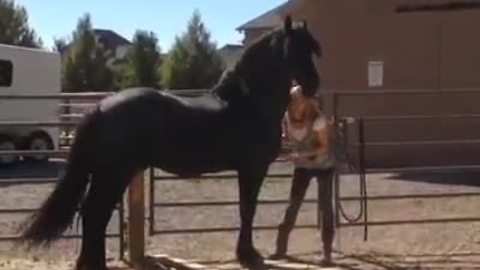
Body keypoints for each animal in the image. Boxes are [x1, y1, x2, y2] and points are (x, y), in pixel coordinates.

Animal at [19, 16, 322, 270]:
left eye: (311, 49)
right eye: (293, 49)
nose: (313, 85)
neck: (248, 103)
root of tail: (101, 108)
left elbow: (246, 209)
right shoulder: (253, 169)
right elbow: (248, 209)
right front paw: (248, 255)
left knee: (93, 215)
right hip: (113, 174)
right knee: (95, 214)